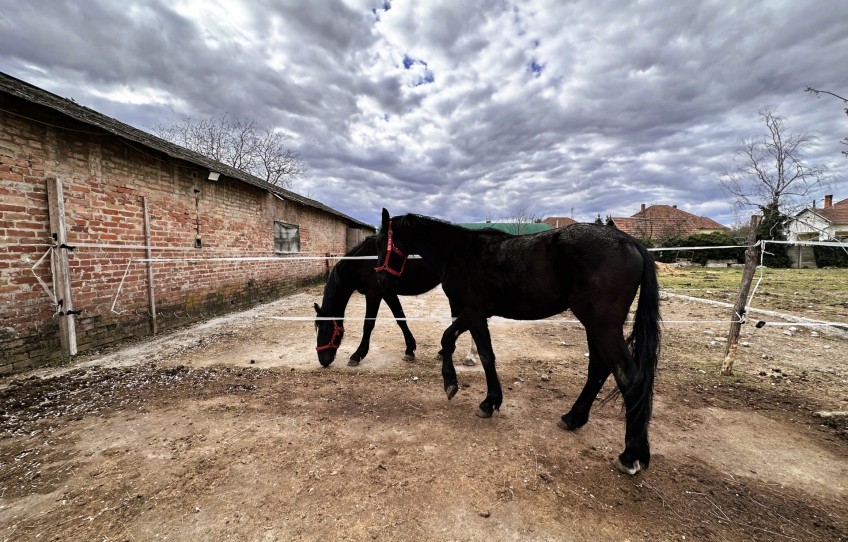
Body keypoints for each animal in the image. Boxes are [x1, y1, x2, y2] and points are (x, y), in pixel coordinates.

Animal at [314, 235, 480, 368]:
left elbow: (368, 324)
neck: (364, 261)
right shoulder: (388, 293)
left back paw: (470, 357)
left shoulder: (374, 294)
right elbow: (400, 318)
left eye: (326, 329)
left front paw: (357, 355)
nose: (323, 360)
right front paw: (410, 350)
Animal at [376, 209, 664, 476]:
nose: (383, 280)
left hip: (601, 324)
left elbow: (484, 354)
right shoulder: (471, 314)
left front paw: (487, 401)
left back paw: (631, 455)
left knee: (628, 376)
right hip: (595, 325)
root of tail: (631, 243)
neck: (458, 251)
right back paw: (573, 418)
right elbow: (448, 339)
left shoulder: (474, 312)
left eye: (379, 243)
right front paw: (452, 384)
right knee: (599, 368)